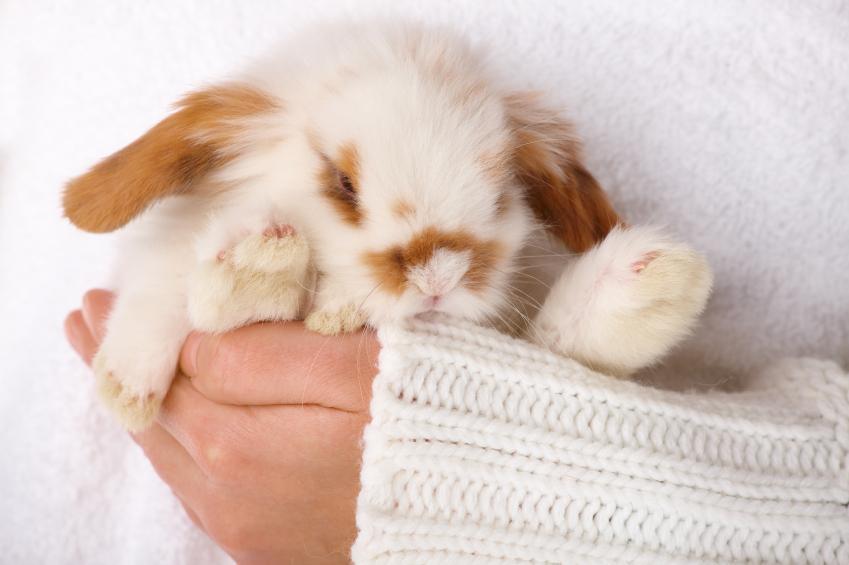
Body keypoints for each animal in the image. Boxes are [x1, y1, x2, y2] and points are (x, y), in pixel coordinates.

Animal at [63, 22, 712, 431]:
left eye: (501, 192)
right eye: (343, 184)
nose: (438, 277)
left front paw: (657, 284)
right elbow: (180, 296)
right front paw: (130, 386)